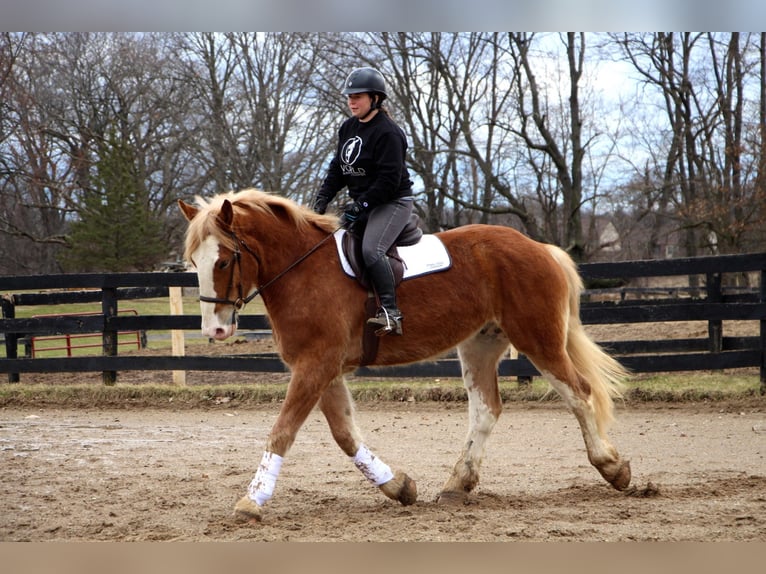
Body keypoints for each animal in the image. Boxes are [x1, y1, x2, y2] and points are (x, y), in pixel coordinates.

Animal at [178, 190, 632, 528]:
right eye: (193, 262)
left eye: (223, 260)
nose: (214, 330)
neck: (301, 271)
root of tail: (539, 248)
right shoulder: (322, 370)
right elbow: (345, 435)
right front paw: (397, 486)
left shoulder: (315, 366)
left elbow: (282, 431)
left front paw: (252, 501)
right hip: (480, 344)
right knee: (486, 409)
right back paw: (457, 484)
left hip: (538, 340)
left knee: (578, 394)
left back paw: (612, 467)